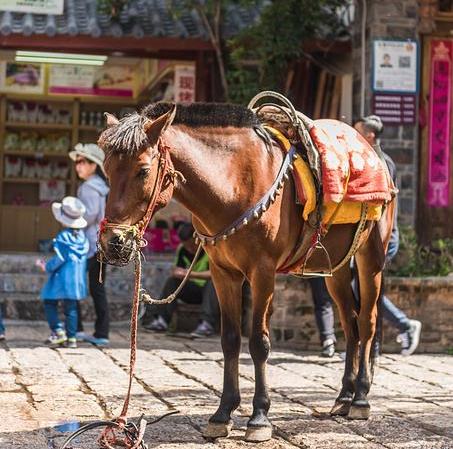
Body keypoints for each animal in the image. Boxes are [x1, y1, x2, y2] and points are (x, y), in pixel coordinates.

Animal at [98, 101, 392, 440]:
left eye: (143, 170)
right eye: (107, 169)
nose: (113, 242)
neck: (234, 183)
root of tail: (374, 154)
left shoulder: (262, 273)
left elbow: (258, 343)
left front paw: (259, 417)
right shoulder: (223, 273)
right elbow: (230, 340)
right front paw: (223, 413)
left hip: (371, 257)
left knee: (367, 322)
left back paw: (360, 398)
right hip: (337, 268)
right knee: (350, 322)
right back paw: (344, 396)